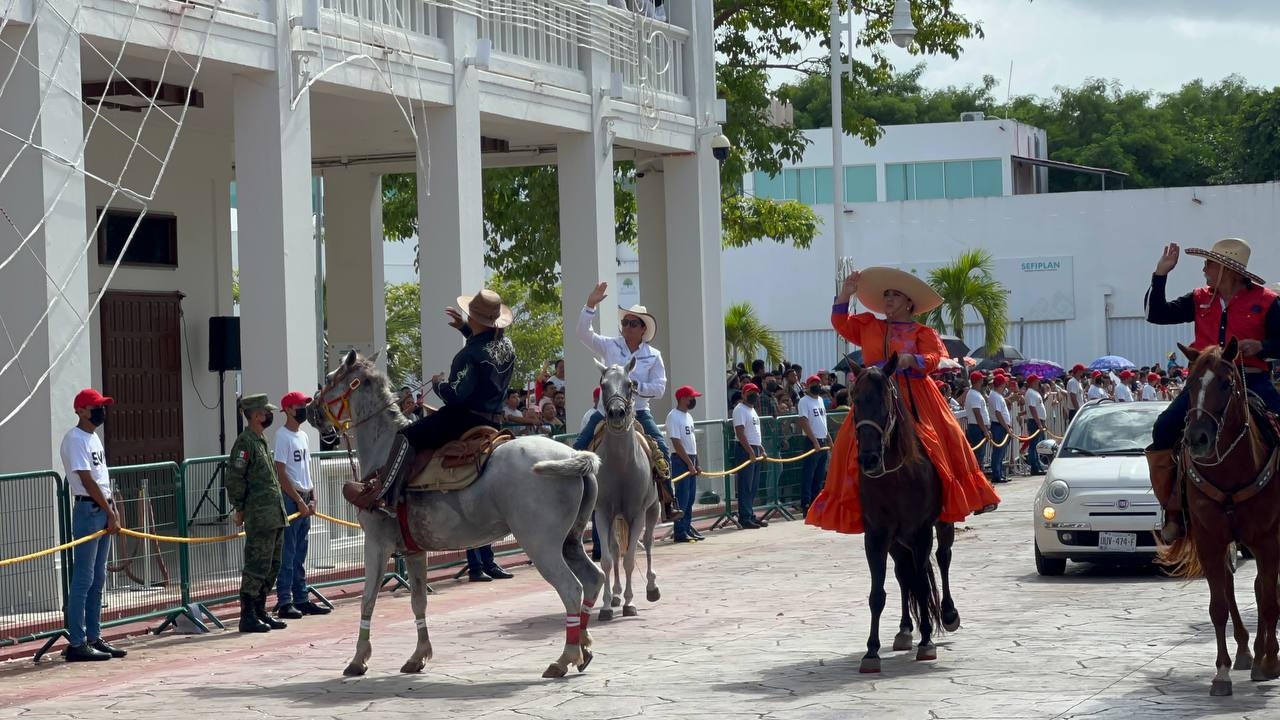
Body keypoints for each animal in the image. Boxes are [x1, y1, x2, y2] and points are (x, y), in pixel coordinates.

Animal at [312, 351, 606, 676]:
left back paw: (565, 657)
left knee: (571, 589)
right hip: (570, 541)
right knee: (593, 579)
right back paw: (584, 646)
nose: (310, 410)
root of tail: (573, 455)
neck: (385, 452)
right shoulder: (414, 550)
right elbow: (418, 601)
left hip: (541, 546)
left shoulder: (376, 543)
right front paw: (419, 655)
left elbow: (367, 600)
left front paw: (358, 658)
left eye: (330, 379)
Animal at [588, 361, 660, 620]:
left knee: (648, 542)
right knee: (615, 548)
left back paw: (651, 587)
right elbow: (608, 560)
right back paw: (617, 594)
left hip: (653, 510)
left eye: (630, 384)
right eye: (603, 384)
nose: (617, 413)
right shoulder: (602, 513)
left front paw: (631, 603)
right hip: (615, 518)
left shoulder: (637, 514)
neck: (621, 465)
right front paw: (608, 605)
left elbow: (629, 558)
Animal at [849, 353, 962, 671]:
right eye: (855, 400)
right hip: (897, 542)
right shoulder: (876, 536)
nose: (869, 459)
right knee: (904, 573)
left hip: (940, 525)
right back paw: (904, 630)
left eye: (885, 401)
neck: (896, 476)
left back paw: (947, 615)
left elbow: (923, 586)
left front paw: (927, 643)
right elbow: (878, 593)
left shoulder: (921, 530)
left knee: (942, 558)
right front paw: (871, 652)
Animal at [1162, 338, 1280, 691]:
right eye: (1189, 384)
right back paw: (1244, 651)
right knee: (1232, 587)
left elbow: (1269, 601)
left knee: (1263, 590)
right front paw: (1222, 672)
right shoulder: (1210, 540)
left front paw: (1270, 661)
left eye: (1227, 384)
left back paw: (1263, 655)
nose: (1197, 439)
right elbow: (1218, 606)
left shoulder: (1268, 539)